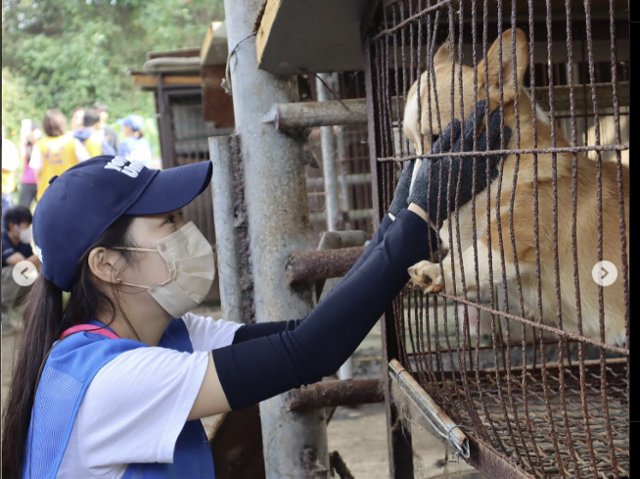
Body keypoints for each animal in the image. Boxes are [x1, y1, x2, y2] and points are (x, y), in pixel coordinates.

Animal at [404, 28, 632, 346]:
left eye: (439, 137)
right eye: (410, 142)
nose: (413, 198)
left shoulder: (513, 236)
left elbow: (474, 256)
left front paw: (436, 271)